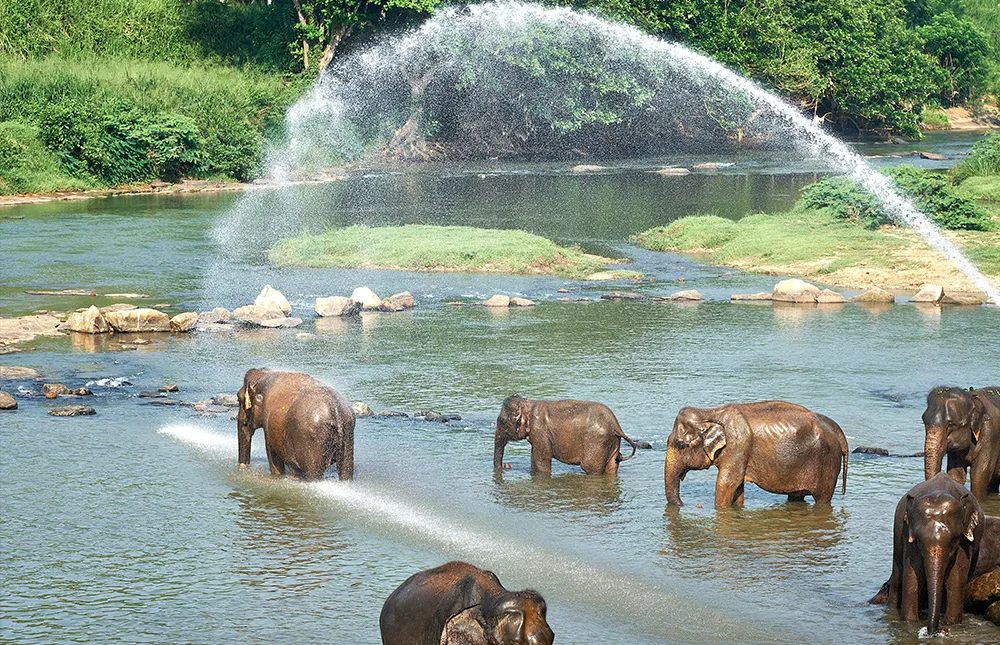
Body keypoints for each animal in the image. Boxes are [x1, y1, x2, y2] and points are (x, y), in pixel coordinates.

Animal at [494, 395, 638, 476]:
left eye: (503, 422)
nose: (506, 466)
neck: (529, 404)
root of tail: (616, 425)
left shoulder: (540, 431)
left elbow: (542, 459)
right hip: (612, 442)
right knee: (612, 467)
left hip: (597, 443)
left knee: (591, 468)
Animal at [664, 401, 848, 507]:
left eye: (681, 445)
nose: (684, 504)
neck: (710, 413)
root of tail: (837, 429)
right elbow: (737, 488)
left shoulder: (739, 445)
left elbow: (727, 483)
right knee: (796, 497)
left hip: (828, 463)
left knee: (822, 499)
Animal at [868, 473, 985, 635]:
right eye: (918, 540)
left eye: (954, 539)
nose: (939, 631)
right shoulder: (907, 532)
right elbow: (912, 576)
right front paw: (909, 624)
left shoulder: (965, 541)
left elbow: (956, 578)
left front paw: (952, 625)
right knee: (898, 575)